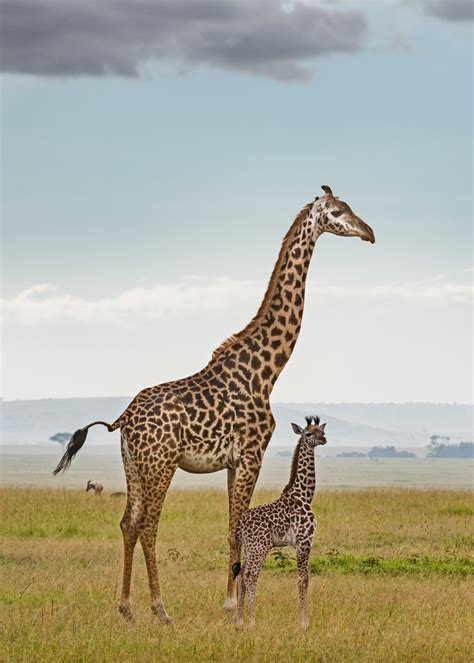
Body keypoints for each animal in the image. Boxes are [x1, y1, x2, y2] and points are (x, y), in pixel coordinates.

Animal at [232, 418, 326, 632]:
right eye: (308, 433)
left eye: (322, 431)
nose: (323, 440)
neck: (305, 495)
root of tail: (240, 523)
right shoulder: (304, 541)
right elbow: (303, 579)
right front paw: (304, 623)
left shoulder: (302, 543)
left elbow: (304, 579)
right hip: (260, 547)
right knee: (250, 576)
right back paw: (252, 622)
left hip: (249, 548)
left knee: (241, 575)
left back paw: (240, 622)